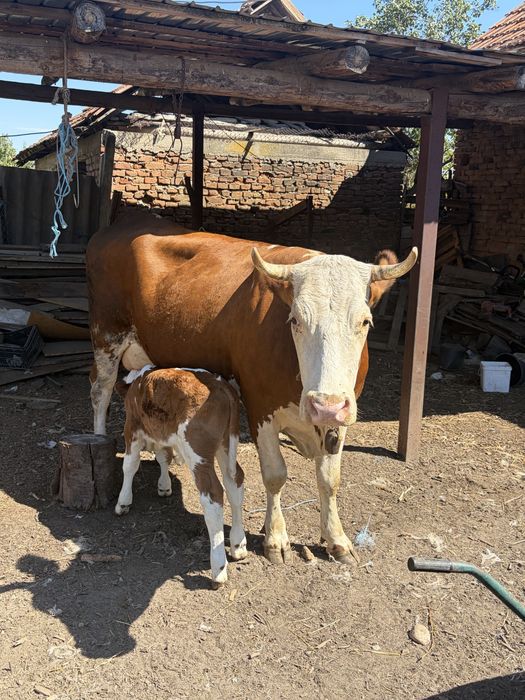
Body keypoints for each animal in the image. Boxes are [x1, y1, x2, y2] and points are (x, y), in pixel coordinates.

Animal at [87, 210, 417, 565]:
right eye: (295, 320)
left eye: (365, 321)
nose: (324, 405)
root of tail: (120, 226)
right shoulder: (260, 408)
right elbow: (275, 474)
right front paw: (275, 538)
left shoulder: (342, 413)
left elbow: (329, 479)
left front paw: (336, 539)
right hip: (106, 334)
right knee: (101, 391)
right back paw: (100, 441)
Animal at [114, 365, 246, 587]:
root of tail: (221, 386)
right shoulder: (160, 430)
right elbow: (163, 456)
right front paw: (164, 486)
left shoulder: (132, 427)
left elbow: (130, 465)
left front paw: (123, 502)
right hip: (225, 444)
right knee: (235, 481)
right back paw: (238, 544)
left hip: (197, 452)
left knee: (213, 495)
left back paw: (218, 569)